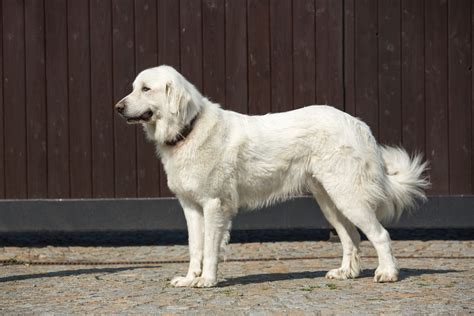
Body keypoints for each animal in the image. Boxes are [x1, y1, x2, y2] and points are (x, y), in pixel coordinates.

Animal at [115, 65, 430, 288]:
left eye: (146, 89)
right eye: (133, 88)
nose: (118, 107)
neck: (188, 129)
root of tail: (358, 124)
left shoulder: (214, 205)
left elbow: (210, 248)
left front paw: (207, 280)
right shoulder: (191, 207)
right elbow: (195, 247)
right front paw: (191, 278)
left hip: (348, 197)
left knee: (380, 234)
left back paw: (387, 273)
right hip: (330, 201)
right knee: (351, 237)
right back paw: (345, 273)